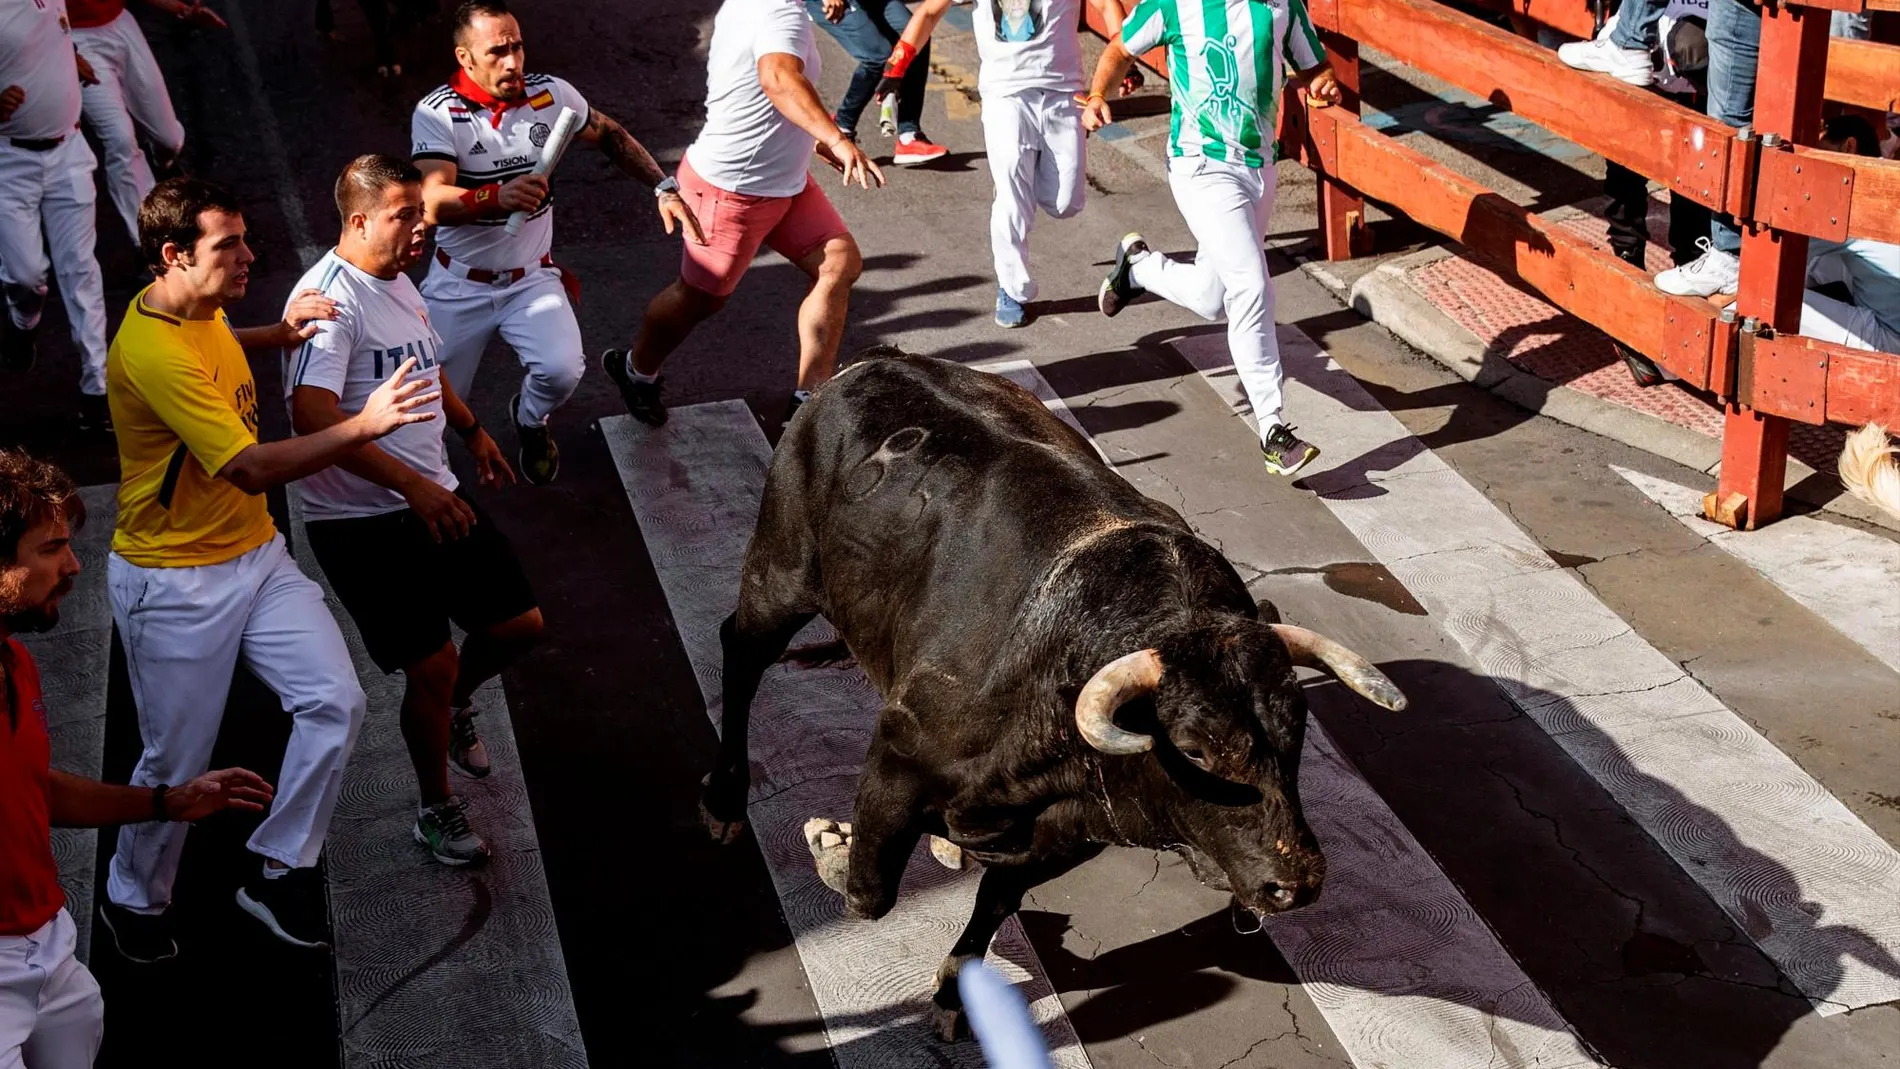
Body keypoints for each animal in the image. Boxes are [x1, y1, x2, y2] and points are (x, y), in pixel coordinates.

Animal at [706, 355, 1406, 1040]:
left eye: (1298, 733)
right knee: (740, 653)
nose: (1299, 885)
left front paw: (955, 996)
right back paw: (724, 802)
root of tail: (865, 368)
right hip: (780, 573)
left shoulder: (1071, 831)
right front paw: (833, 846)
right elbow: (869, 892)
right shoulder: (898, 754)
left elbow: (995, 902)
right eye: (1193, 750)